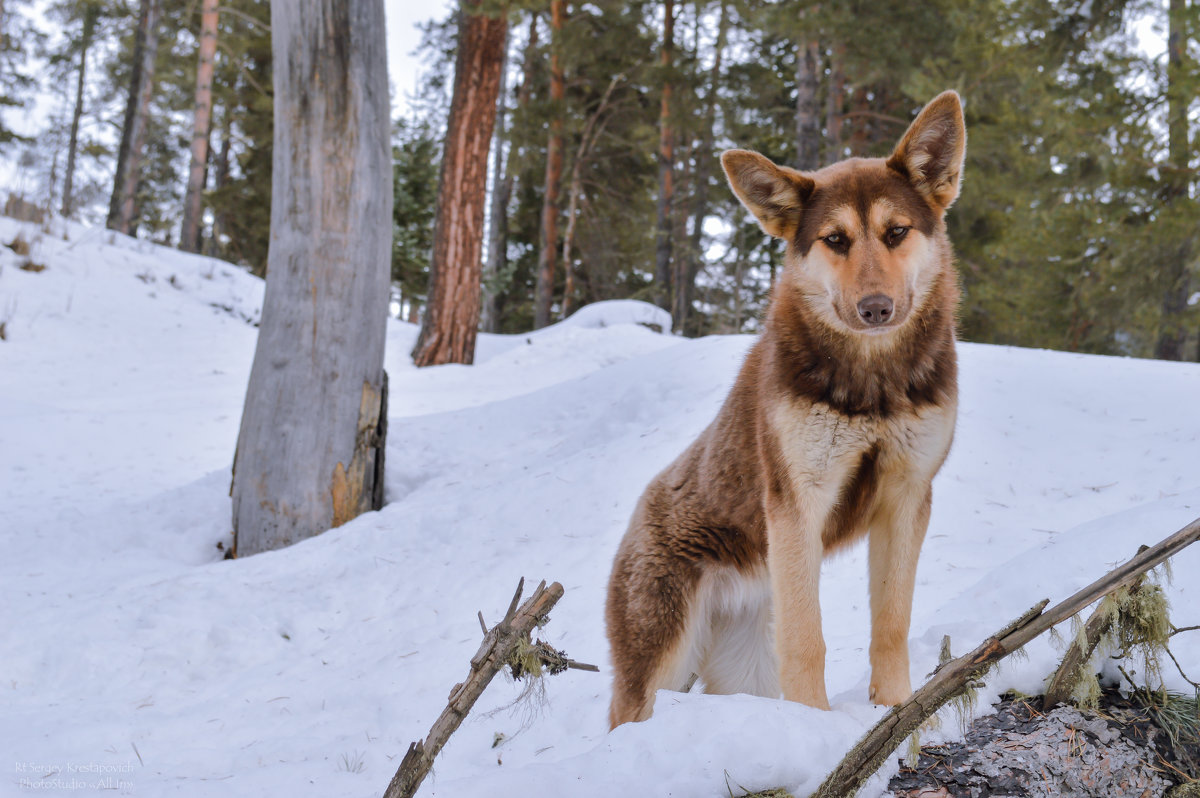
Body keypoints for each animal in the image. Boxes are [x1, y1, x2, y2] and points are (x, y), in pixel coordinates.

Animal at [600, 90, 964, 724]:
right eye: (835, 240)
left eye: (896, 232)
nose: (875, 308)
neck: (873, 385)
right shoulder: (799, 501)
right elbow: (807, 640)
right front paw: (815, 725)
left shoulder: (907, 495)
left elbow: (890, 626)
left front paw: (896, 712)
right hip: (660, 659)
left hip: (743, 670)